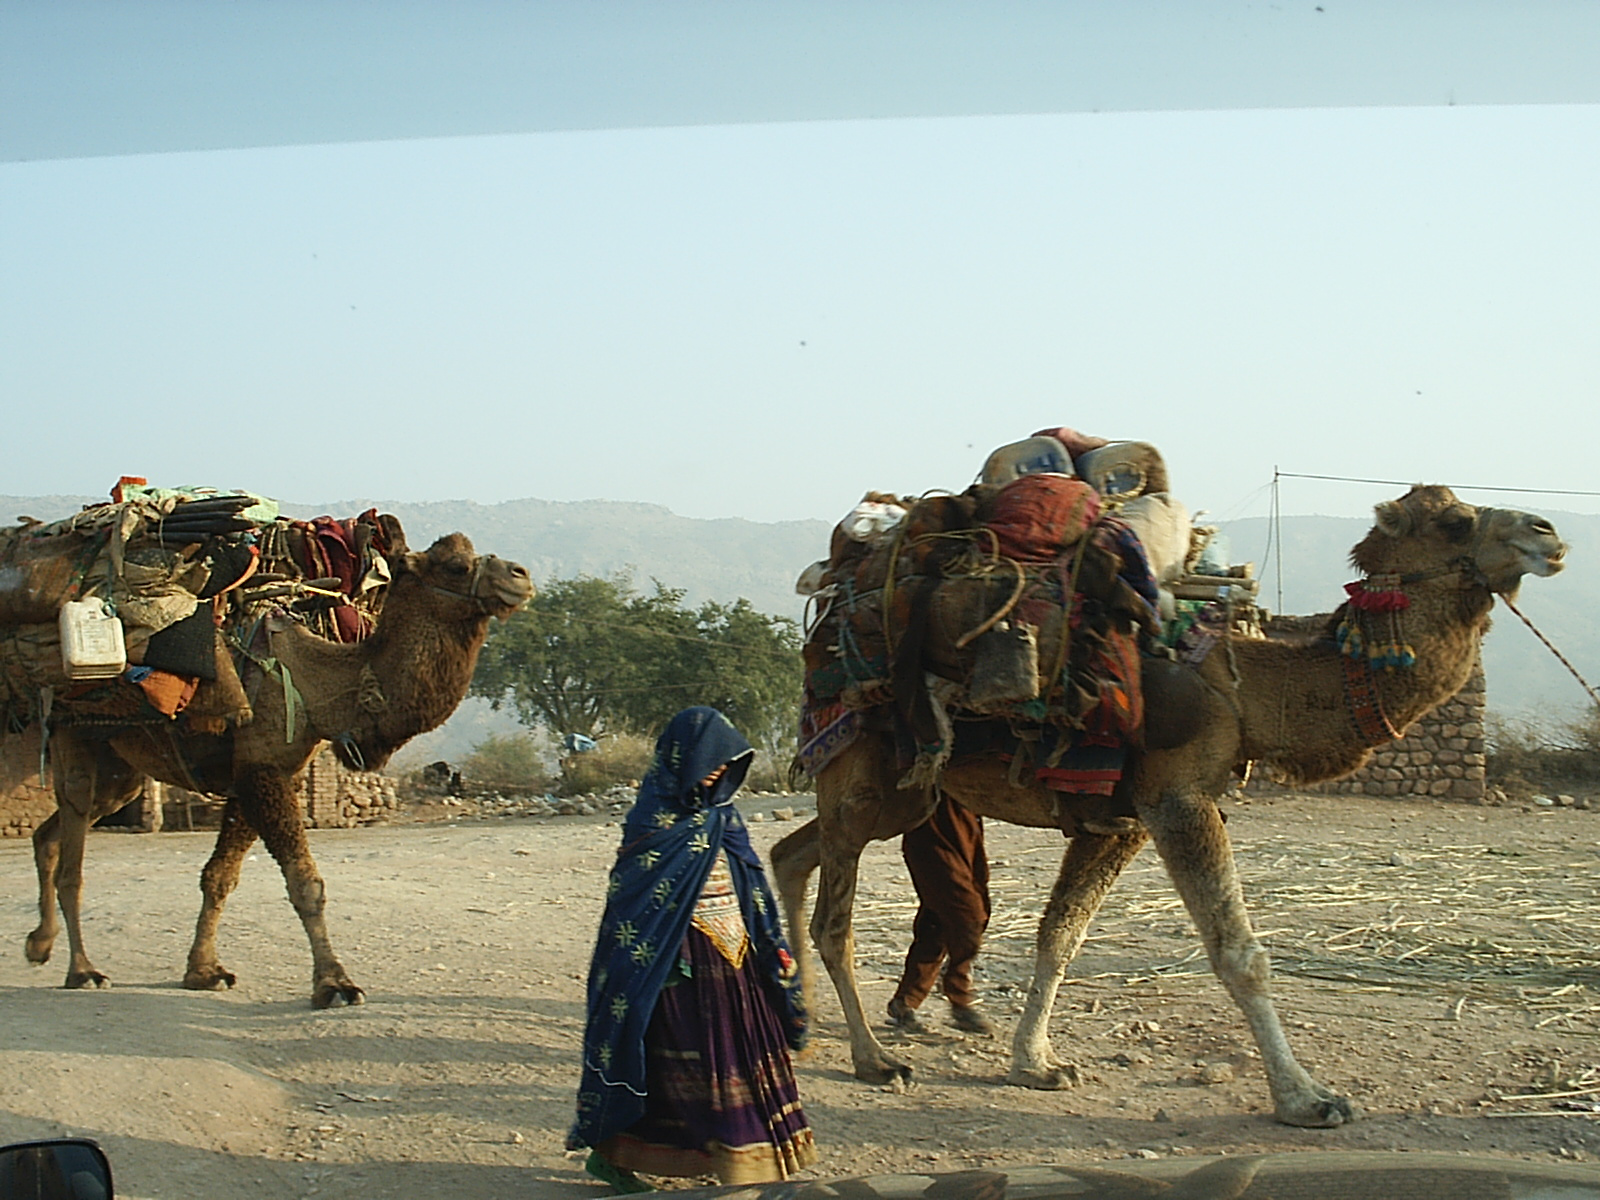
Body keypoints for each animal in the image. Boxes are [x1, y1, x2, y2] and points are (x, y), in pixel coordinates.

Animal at [20, 531, 531, 1011]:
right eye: (456, 565)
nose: (520, 575)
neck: (313, 683)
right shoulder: (261, 770)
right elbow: (306, 884)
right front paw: (334, 984)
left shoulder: (260, 774)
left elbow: (219, 877)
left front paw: (204, 971)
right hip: (73, 734)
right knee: (73, 855)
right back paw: (83, 970)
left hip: (119, 764)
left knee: (53, 832)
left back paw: (38, 945)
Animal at [768, 486, 1568, 1126]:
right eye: (1459, 521)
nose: (1549, 534)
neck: (1248, 691)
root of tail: (831, 606)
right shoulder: (1178, 799)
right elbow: (1239, 953)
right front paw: (1307, 1099)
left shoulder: (1119, 817)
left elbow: (1060, 936)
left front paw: (1037, 1063)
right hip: (862, 768)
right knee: (835, 917)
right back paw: (873, 1058)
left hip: (902, 791)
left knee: (791, 853)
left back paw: (803, 1014)